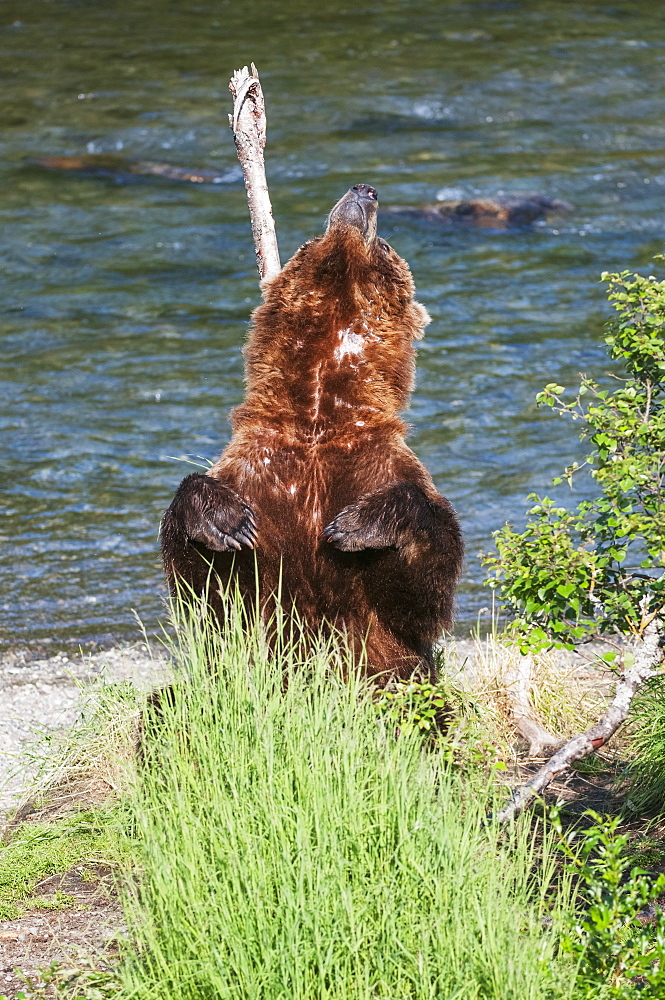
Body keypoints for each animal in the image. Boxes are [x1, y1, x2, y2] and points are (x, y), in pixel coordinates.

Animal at [160, 185, 462, 684]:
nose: (364, 191)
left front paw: (357, 525)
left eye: (385, 248)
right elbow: (206, 595)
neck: (319, 415)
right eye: (312, 240)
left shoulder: (378, 463)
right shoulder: (257, 469)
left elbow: (422, 598)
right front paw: (225, 520)